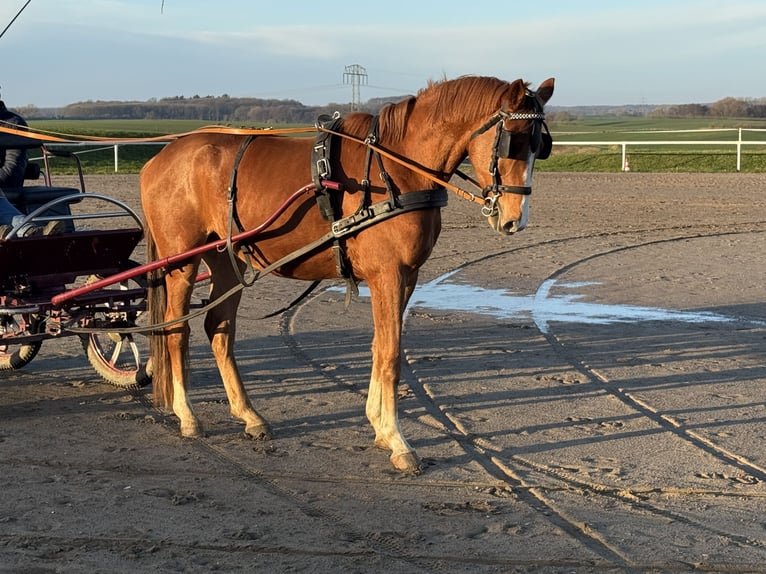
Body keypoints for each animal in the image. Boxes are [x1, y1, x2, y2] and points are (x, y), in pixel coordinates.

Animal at [141, 75, 556, 472]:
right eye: (513, 141)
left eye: (541, 145)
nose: (514, 220)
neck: (399, 170)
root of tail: (161, 157)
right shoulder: (388, 275)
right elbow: (390, 354)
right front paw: (398, 440)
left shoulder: (406, 276)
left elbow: (379, 346)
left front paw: (380, 427)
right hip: (182, 260)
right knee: (176, 330)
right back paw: (187, 416)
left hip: (228, 260)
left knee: (219, 329)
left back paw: (248, 415)